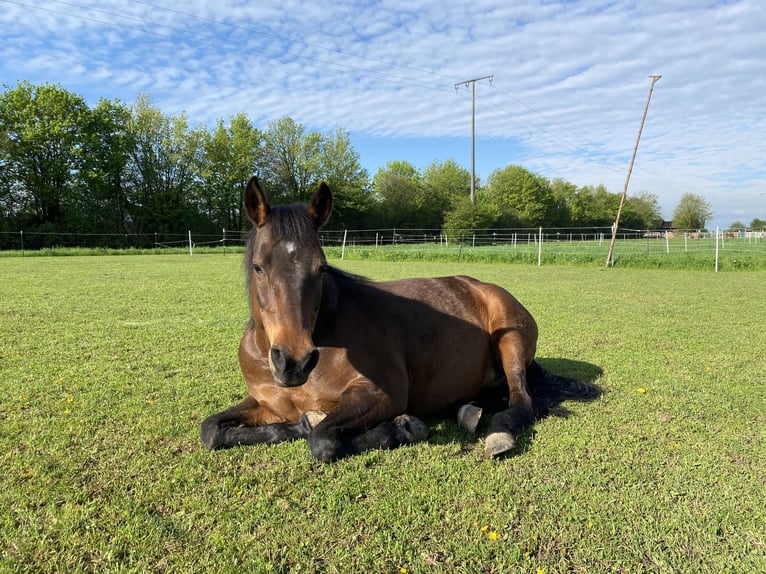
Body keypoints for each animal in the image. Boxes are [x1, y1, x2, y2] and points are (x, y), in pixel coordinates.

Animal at [201, 177, 596, 462]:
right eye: (259, 267)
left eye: (321, 267)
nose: (294, 362)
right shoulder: (266, 404)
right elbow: (211, 429)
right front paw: (293, 426)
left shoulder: (383, 394)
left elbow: (323, 439)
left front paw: (405, 427)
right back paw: (467, 410)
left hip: (509, 339)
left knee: (521, 402)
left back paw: (497, 434)